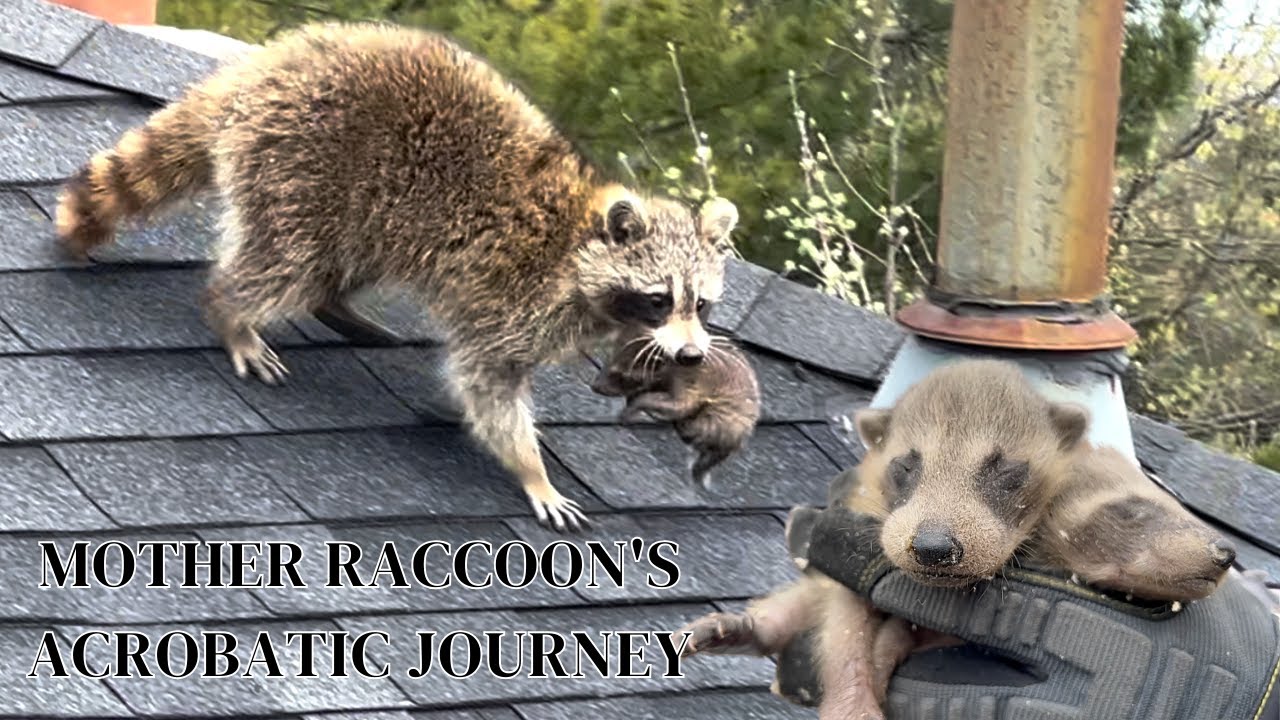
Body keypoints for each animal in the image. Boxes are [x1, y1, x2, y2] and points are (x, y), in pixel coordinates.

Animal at [53, 23, 738, 532]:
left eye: (701, 305)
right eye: (659, 299)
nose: (693, 355)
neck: (578, 243)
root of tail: (278, 62)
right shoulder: (515, 295)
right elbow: (486, 384)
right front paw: (531, 470)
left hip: (366, 203)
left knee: (344, 260)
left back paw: (338, 307)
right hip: (307, 159)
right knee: (289, 260)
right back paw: (230, 310)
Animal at [589, 328, 760, 487]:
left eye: (622, 376)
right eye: (609, 363)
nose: (595, 386)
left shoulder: (689, 382)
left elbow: (678, 405)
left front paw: (634, 406)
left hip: (724, 417)